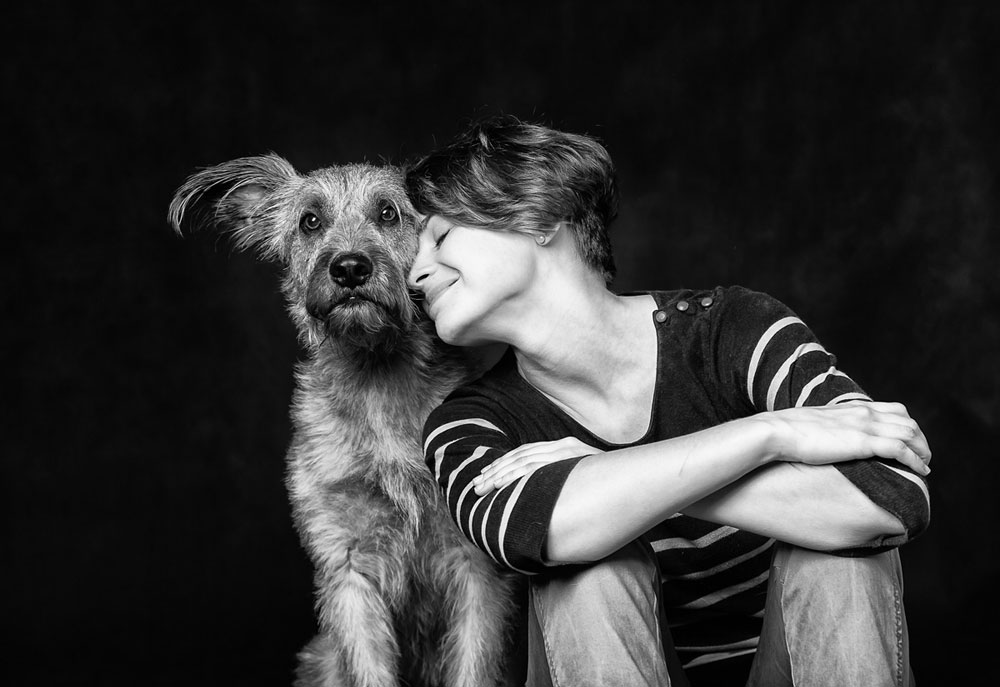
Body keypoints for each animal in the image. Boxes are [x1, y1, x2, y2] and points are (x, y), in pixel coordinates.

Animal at [169, 157, 516, 687]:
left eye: (389, 213)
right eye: (310, 221)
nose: (350, 267)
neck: (377, 377)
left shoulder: (475, 568)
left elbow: (472, 666)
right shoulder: (346, 566)